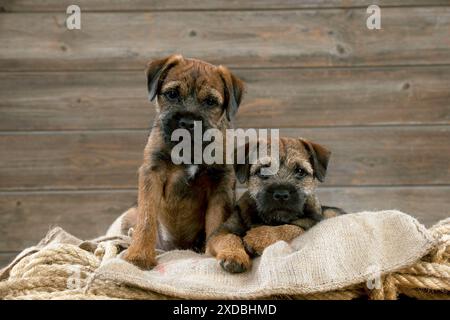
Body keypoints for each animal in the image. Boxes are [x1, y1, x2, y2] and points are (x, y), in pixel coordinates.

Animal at [122, 55, 246, 270]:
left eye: (210, 101)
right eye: (172, 94)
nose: (187, 122)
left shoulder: (221, 183)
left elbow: (217, 223)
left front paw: (221, 252)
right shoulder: (152, 172)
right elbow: (146, 218)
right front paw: (139, 254)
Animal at [209, 136, 346, 274]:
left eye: (300, 171)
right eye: (263, 171)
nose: (281, 194)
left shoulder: (311, 222)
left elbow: (291, 228)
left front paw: (256, 237)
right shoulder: (218, 234)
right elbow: (229, 237)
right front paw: (233, 255)